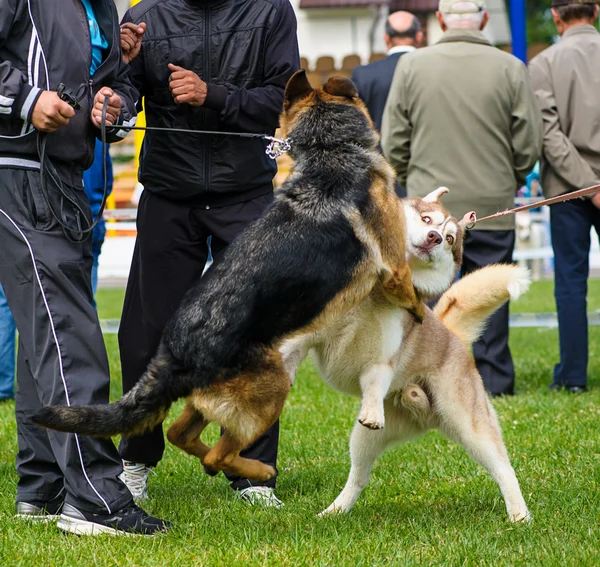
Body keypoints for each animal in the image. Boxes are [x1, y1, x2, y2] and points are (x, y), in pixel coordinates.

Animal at [32, 71, 424, 484]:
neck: (328, 149)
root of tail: (174, 351)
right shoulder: (394, 267)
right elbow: (412, 292)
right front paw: (422, 314)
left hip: (217, 398)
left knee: (180, 434)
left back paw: (224, 465)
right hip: (274, 383)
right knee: (220, 453)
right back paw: (260, 469)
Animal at [282, 190, 528, 524]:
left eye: (450, 239)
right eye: (427, 219)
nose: (435, 237)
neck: (376, 291)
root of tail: (452, 334)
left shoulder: (383, 357)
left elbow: (375, 379)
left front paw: (372, 408)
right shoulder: (313, 328)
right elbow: (294, 346)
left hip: (468, 424)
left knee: (503, 467)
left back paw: (519, 515)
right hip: (366, 438)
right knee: (359, 477)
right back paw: (334, 510)